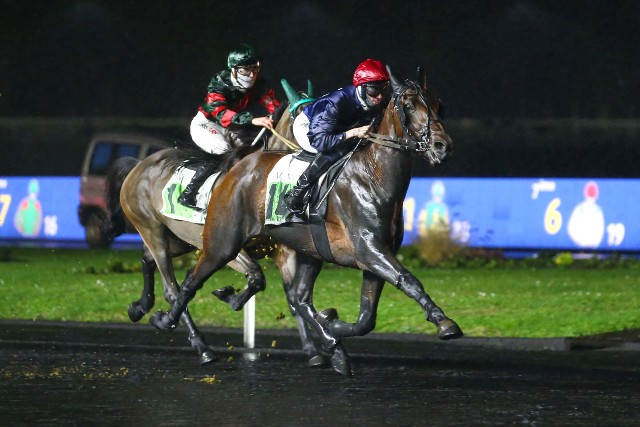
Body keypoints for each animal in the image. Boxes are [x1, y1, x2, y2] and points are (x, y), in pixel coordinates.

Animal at [105, 81, 325, 366]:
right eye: (305, 118)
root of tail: (139, 165)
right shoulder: (227, 247)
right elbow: (256, 277)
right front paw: (228, 295)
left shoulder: (284, 251)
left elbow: (292, 298)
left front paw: (312, 350)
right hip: (152, 229)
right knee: (171, 288)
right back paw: (202, 347)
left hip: (179, 239)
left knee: (148, 259)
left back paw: (139, 307)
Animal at [148, 66, 463, 375]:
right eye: (408, 106)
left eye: (438, 104)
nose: (442, 146)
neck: (373, 176)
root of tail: (237, 167)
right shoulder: (369, 250)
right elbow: (409, 281)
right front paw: (445, 323)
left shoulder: (375, 256)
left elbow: (366, 318)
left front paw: (332, 324)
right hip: (222, 242)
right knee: (190, 282)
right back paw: (171, 323)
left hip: (310, 250)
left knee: (300, 299)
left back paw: (333, 349)